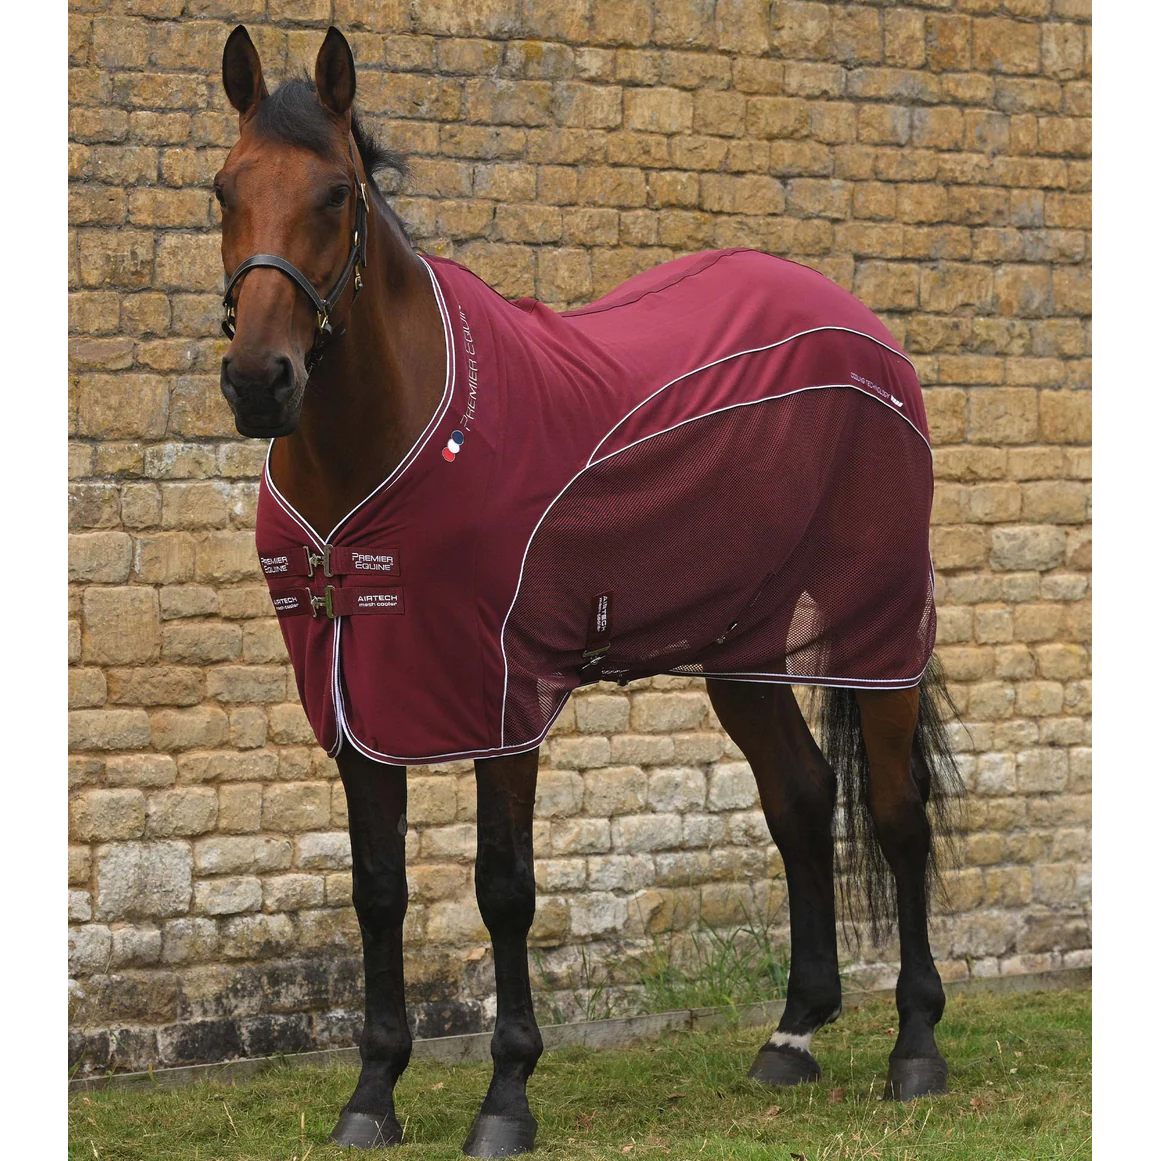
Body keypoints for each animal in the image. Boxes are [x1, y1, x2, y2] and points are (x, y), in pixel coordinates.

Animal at [215, 25, 961, 1158]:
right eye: (222, 190)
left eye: (337, 194)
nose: (261, 382)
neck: (394, 442)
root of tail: (862, 330)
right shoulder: (356, 698)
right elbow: (377, 888)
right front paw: (372, 1093)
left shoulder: (500, 694)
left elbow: (503, 887)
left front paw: (505, 1096)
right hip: (740, 648)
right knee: (797, 798)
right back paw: (791, 1034)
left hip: (876, 635)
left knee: (893, 812)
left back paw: (915, 1047)